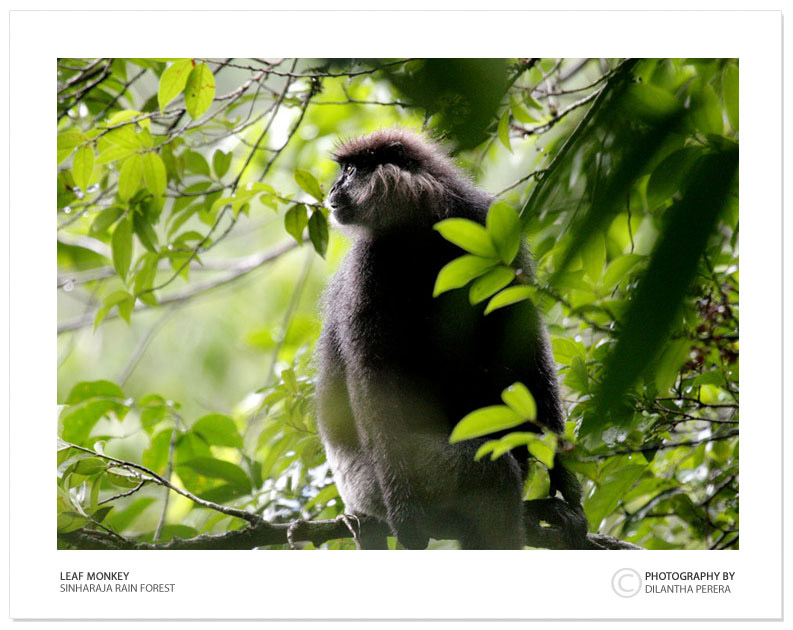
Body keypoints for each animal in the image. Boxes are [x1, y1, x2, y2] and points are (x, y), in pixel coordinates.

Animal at [318, 130, 588, 552]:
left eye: (350, 171)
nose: (332, 188)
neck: (423, 228)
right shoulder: (368, 267)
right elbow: (373, 377)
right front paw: (405, 513)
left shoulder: (488, 227)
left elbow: (525, 348)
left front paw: (565, 481)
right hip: (377, 481)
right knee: (490, 472)